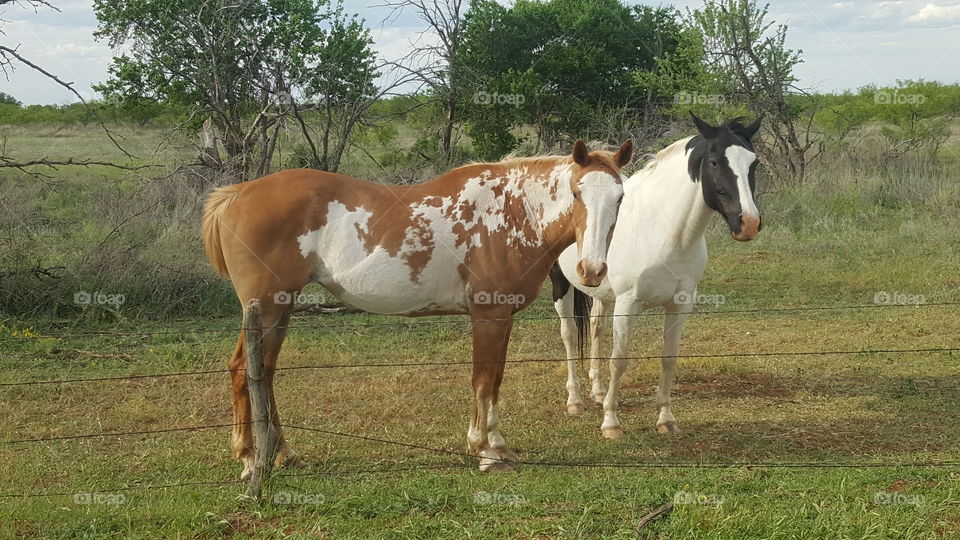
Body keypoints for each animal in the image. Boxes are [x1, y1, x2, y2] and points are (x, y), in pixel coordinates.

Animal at [202, 139, 633, 475]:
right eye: (577, 192)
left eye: (620, 197)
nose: (591, 270)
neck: (511, 212)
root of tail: (234, 195)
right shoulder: (488, 315)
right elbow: (482, 381)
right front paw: (485, 451)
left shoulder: (502, 317)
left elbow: (494, 380)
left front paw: (498, 445)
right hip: (267, 306)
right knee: (243, 369)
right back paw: (248, 455)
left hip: (280, 309)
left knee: (263, 371)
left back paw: (284, 454)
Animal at [550, 114, 762, 439]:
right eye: (715, 162)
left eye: (754, 163)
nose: (748, 224)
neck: (662, 229)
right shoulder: (628, 304)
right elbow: (619, 360)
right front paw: (611, 422)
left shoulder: (680, 304)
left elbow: (668, 357)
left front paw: (666, 419)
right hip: (561, 285)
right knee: (570, 334)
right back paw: (575, 400)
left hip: (599, 289)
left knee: (596, 327)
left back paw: (596, 391)